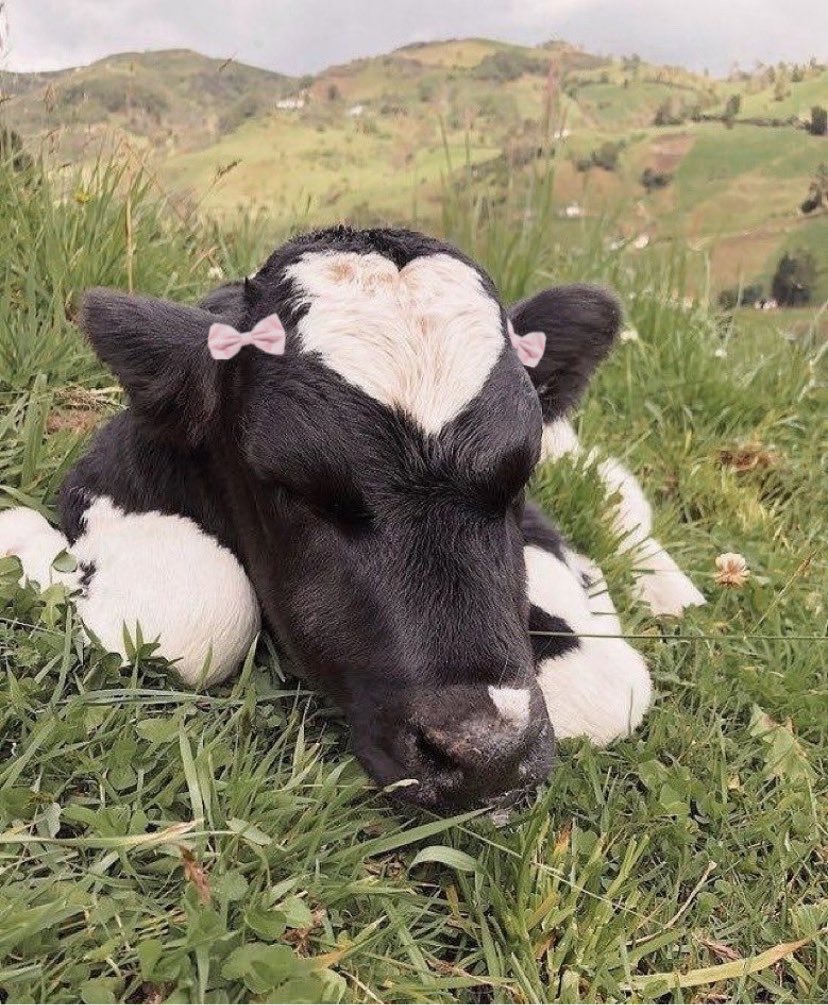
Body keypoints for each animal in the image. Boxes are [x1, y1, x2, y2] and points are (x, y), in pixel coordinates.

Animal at [0, 226, 704, 812]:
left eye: (519, 474)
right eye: (289, 487)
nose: (486, 755)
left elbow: (607, 686)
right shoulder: (109, 473)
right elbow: (192, 614)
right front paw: (22, 541)